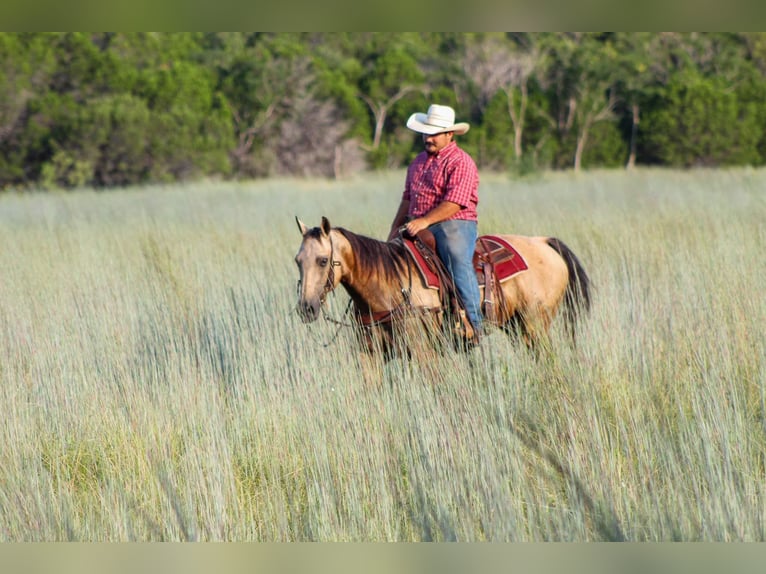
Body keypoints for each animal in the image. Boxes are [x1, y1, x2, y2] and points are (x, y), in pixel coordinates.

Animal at [294, 216, 591, 359]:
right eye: (298, 260)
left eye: (323, 260)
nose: (306, 309)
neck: (388, 287)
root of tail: (544, 241)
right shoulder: (370, 354)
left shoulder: (423, 351)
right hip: (517, 327)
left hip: (535, 326)